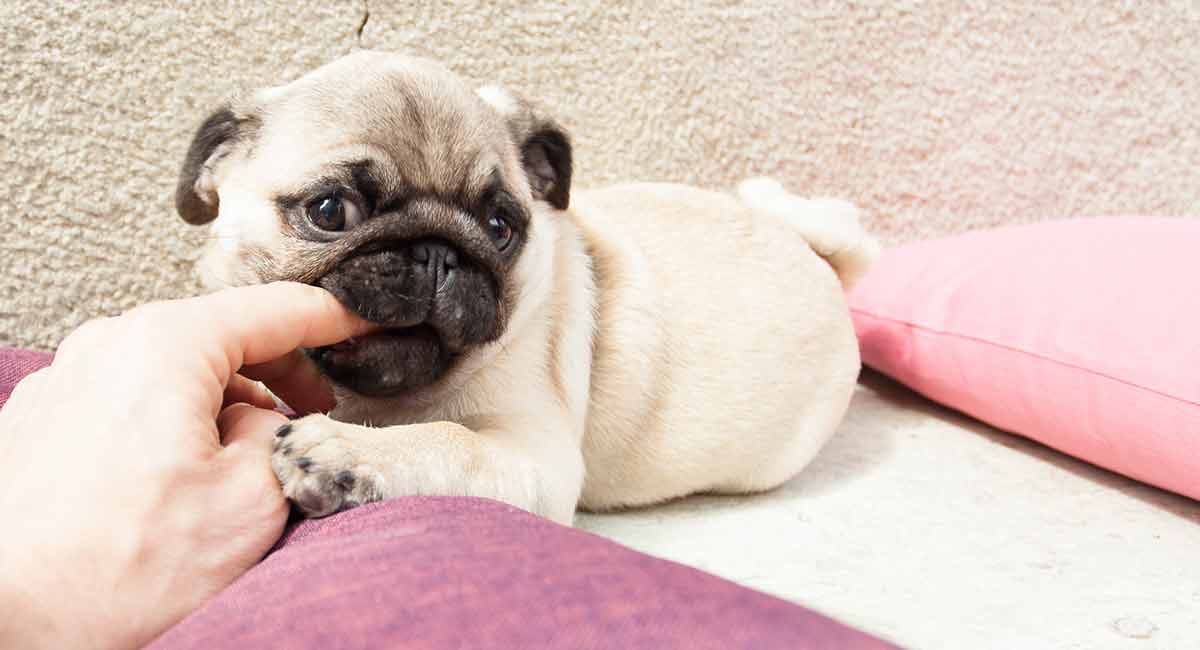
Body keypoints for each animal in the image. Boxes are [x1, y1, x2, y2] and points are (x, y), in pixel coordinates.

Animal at [174, 52, 878, 530]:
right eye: (329, 211)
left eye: (500, 227)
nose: (438, 253)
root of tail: (820, 257)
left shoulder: (533, 457)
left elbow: (447, 440)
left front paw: (347, 450)